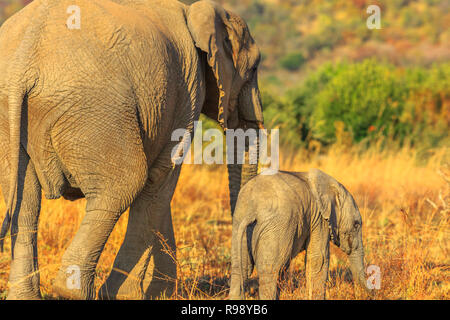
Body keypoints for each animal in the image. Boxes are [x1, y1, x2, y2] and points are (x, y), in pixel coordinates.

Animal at [0, 0, 264, 300]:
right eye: (255, 68)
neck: (195, 13)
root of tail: (24, 60)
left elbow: (159, 191)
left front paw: (160, 293)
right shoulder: (188, 89)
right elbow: (159, 179)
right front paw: (128, 296)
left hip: (13, 113)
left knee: (25, 202)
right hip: (95, 108)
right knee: (125, 184)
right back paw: (73, 291)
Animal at [227, 169, 368, 298]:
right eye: (356, 224)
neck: (332, 185)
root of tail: (252, 208)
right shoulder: (319, 219)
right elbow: (319, 259)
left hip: (240, 223)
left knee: (241, 269)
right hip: (277, 225)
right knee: (271, 271)